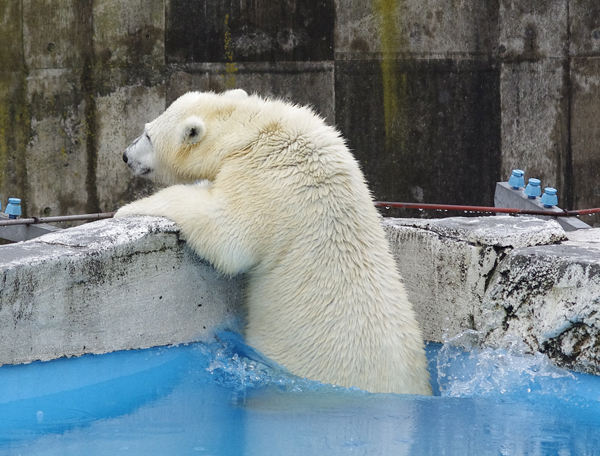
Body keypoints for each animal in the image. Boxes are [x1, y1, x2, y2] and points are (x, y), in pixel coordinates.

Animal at [116, 90, 432, 396]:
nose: (125, 155)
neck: (251, 131)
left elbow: (226, 233)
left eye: (147, 135)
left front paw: (129, 208)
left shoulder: (267, 180)